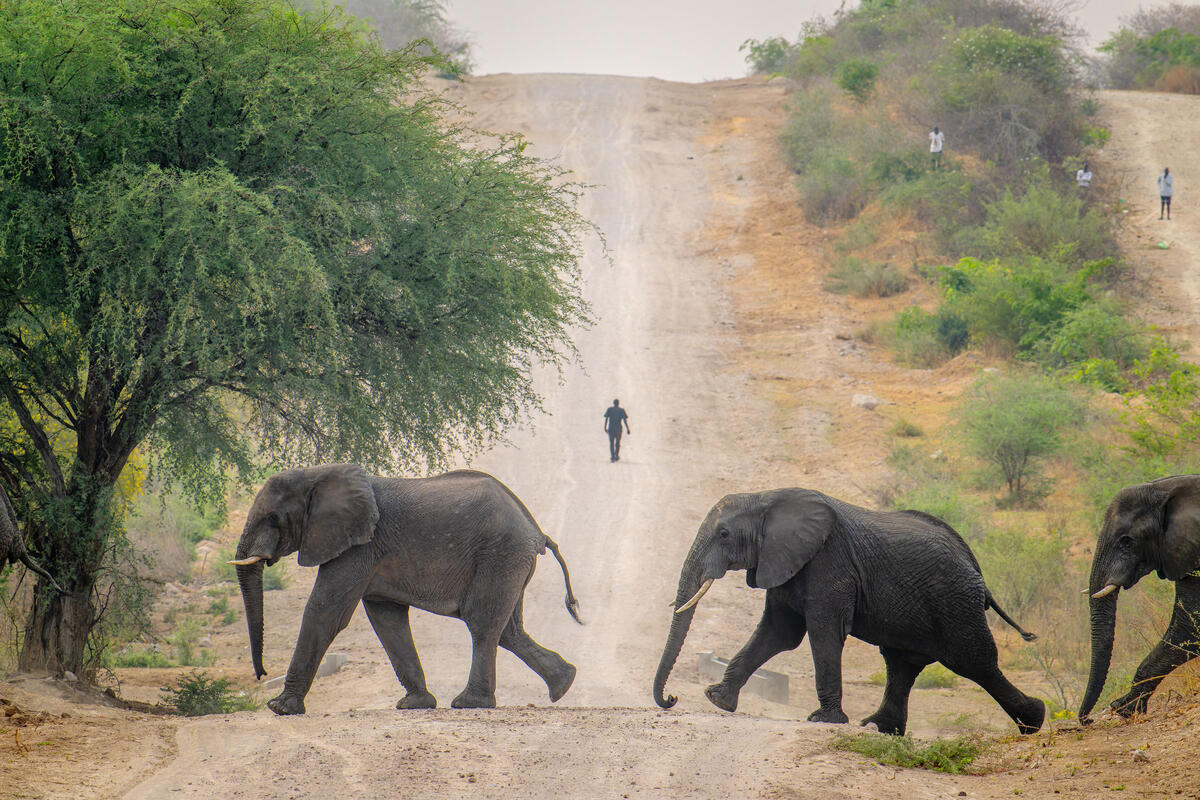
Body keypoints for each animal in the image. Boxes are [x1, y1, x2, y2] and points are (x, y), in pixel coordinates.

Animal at [232, 462, 580, 714]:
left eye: (273, 518)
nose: (262, 675)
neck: (316, 474)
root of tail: (536, 530)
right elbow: (388, 620)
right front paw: (416, 705)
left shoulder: (359, 546)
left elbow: (325, 611)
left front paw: (280, 708)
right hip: (510, 560)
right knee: (509, 630)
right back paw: (563, 684)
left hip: (500, 554)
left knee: (482, 624)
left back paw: (470, 704)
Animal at [652, 484, 1046, 734]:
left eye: (723, 535)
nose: (671, 698)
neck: (765, 498)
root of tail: (977, 569)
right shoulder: (783, 561)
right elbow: (778, 633)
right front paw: (717, 700)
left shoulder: (830, 564)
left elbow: (822, 633)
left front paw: (823, 720)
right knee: (902, 664)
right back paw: (877, 726)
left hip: (955, 603)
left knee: (974, 662)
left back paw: (1034, 721)